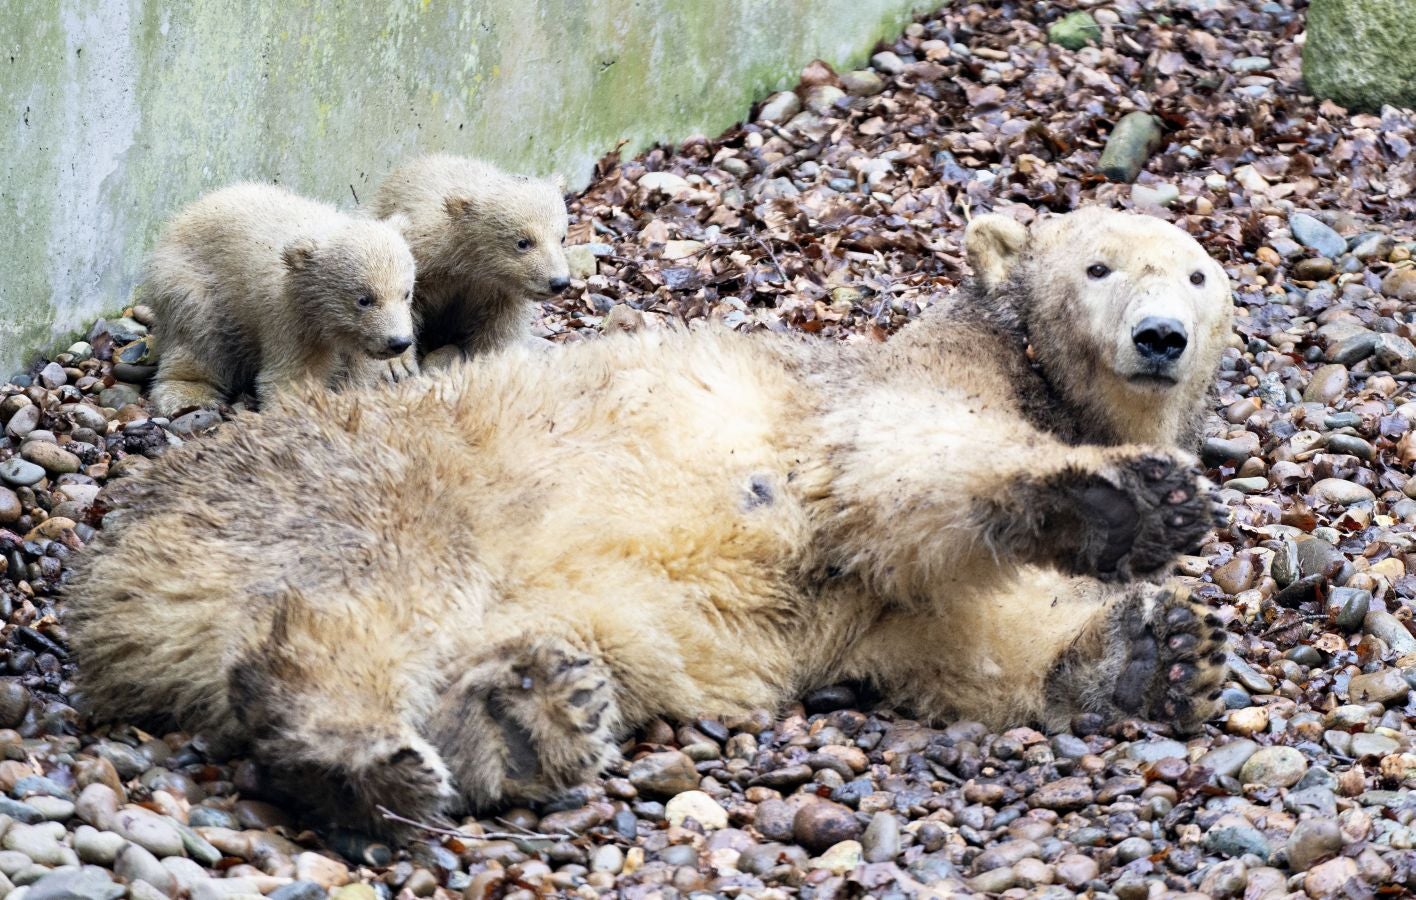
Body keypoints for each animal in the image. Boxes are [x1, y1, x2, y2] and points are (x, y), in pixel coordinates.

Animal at [66, 208, 1234, 832]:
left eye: (1198, 274)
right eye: (1097, 266)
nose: (1161, 336)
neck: (1022, 365)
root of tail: (119, 566)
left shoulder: (882, 598)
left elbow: (949, 626)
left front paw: (1152, 653)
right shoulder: (884, 397)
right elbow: (904, 475)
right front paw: (1129, 501)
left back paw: (527, 712)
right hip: (362, 487)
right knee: (360, 603)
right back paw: (366, 761)